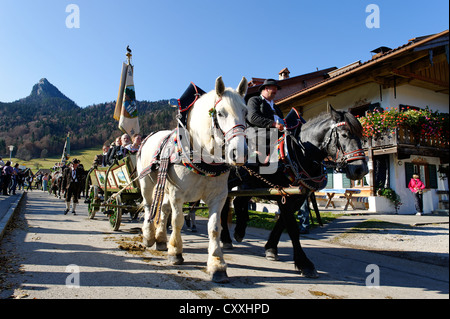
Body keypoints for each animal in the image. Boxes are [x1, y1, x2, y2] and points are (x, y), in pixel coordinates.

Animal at [138, 76, 250, 284]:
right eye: (220, 113)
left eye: (245, 112)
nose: (239, 153)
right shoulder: (177, 194)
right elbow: (177, 221)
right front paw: (176, 252)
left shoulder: (219, 197)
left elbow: (214, 228)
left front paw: (217, 264)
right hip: (147, 183)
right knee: (150, 206)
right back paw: (148, 236)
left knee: (163, 209)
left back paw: (161, 239)